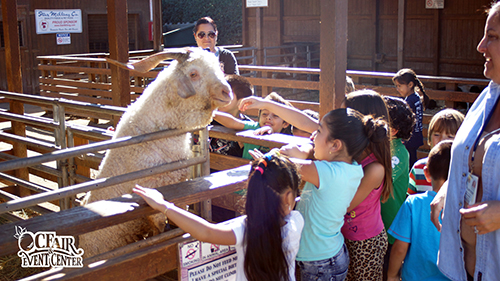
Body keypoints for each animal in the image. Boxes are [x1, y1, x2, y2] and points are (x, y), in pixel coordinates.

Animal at [77, 47, 232, 258]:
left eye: (219, 67)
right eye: (193, 73)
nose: (227, 92)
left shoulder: (179, 184)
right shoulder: (153, 190)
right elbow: (159, 226)